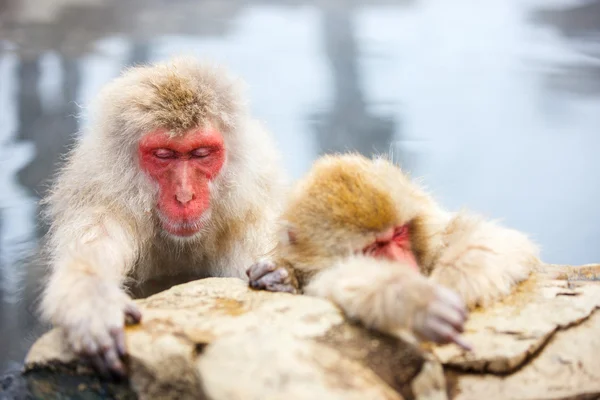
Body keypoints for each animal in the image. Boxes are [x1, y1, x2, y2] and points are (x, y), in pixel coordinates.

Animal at [41, 57, 288, 378]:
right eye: (163, 154)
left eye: (201, 153)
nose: (184, 196)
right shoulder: (101, 202)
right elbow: (88, 259)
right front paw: (95, 305)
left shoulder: (251, 208)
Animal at [246, 153, 540, 350]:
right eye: (373, 247)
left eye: (399, 233)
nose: (401, 262)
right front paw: (414, 301)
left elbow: (501, 242)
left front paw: (451, 283)